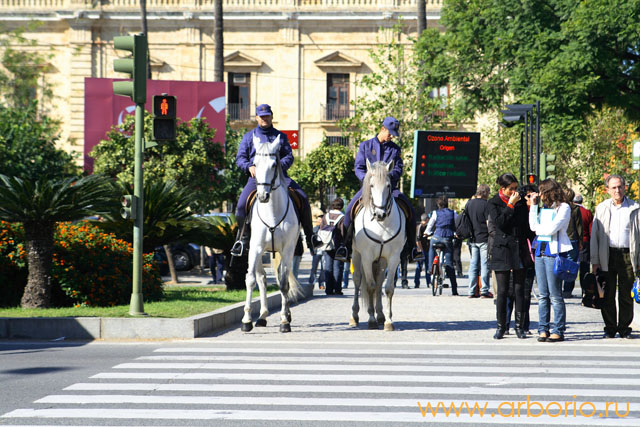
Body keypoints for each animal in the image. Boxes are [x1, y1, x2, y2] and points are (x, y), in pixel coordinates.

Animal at [241, 135, 302, 334]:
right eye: (254, 163)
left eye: (275, 164)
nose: (262, 196)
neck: (272, 212)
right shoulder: (255, 248)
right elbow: (251, 280)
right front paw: (246, 320)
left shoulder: (288, 249)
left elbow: (283, 283)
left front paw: (284, 321)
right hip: (259, 252)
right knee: (262, 279)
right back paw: (262, 316)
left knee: (284, 277)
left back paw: (285, 315)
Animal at [350, 160, 404, 332]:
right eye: (371, 185)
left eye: (388, 185)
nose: (380, 214)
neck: (382, 225)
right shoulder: (366, 257)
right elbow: (370, 286)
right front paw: (371, 319)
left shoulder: (393, 258)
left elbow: (388, 288)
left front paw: (388, 321)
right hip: (356, 255)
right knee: (357, 280)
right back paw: (354, 316)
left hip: (381, 261)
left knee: (380, 281)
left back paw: (380, 315)